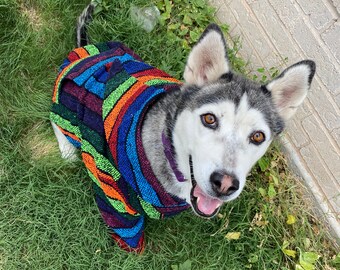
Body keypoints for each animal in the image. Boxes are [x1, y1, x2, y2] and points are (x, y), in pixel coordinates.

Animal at [50, 3, 316, 253]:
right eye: (209, 119)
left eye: (258, 136)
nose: (225, 184)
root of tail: (83, 51)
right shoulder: (112, 191)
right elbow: (127, 229)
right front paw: (132, 252)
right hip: (67, 105)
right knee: (54, 118)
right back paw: (67, 150)